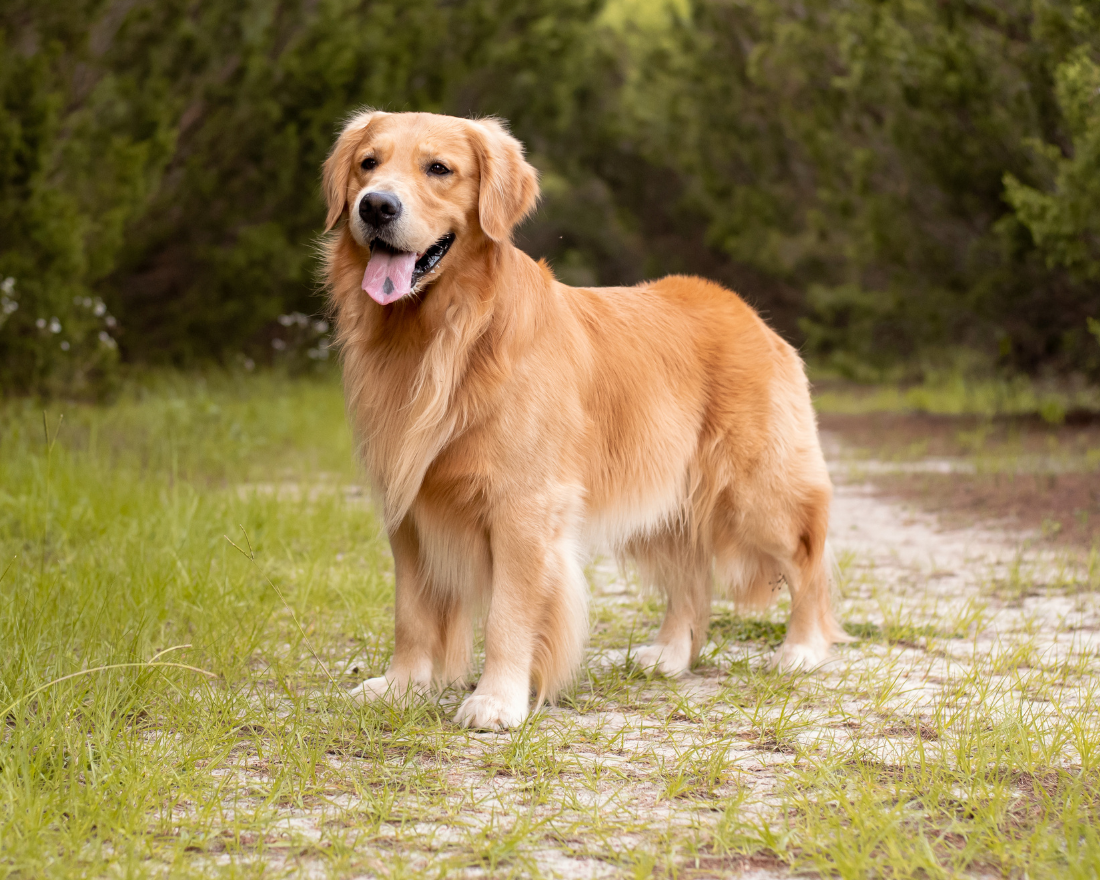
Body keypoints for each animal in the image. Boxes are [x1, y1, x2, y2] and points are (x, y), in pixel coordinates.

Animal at [321, 110, 844, 730]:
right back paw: (670, 654)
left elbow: (508, 615)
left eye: (439, 168)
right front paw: (401, 687)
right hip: (664, 498)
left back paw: (802, 649)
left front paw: (496, 701)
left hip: (757, 493)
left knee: (807, 558)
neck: (446, 334)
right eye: (367, 163)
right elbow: (411, 612)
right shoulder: (409, 505)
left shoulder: (523, 505)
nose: (376, 206)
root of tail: (745, 310)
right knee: (690, 576)